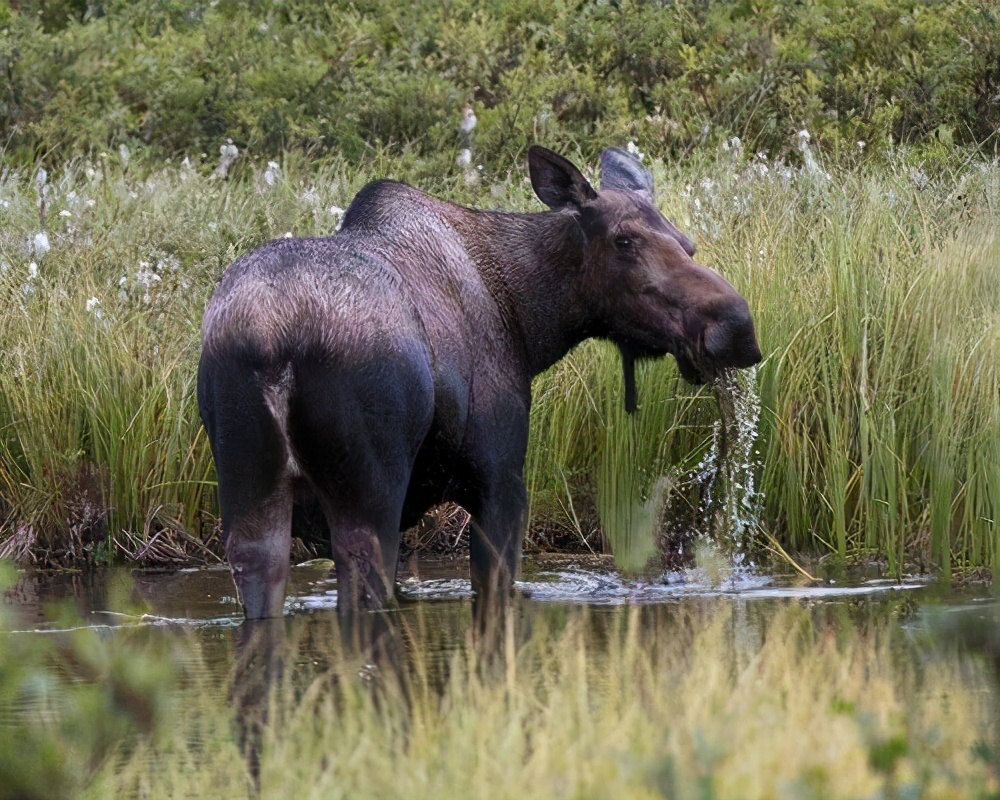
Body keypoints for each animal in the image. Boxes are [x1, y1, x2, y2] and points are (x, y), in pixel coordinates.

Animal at [193, 147, 756, 628]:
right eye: (624, 240)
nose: (736, 328)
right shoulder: (500, 478)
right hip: (369, 487)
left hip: (248, 484)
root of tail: (270, 340)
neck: (532, 323)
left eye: (687, 243)